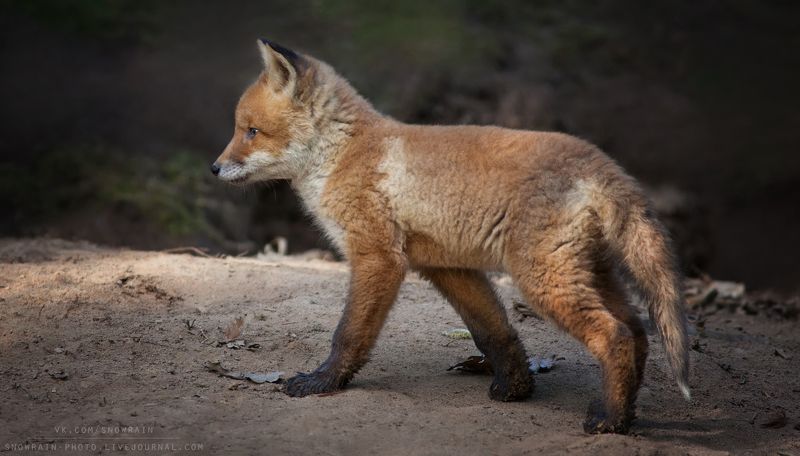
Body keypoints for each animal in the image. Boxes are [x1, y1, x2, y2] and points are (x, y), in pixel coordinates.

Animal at [211, 39, 691, 434]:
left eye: (251, 131)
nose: (214, 169)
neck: (343, 154)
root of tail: (601, 162)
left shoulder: (378, 256)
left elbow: (348, 333)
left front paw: (324, 381)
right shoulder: (446, 265)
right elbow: (493, 332)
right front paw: (516, 388)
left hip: (543, 280)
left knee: (615, 335)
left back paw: (608, 420)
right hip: (587, 273)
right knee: (638, 331)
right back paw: (625, 415)